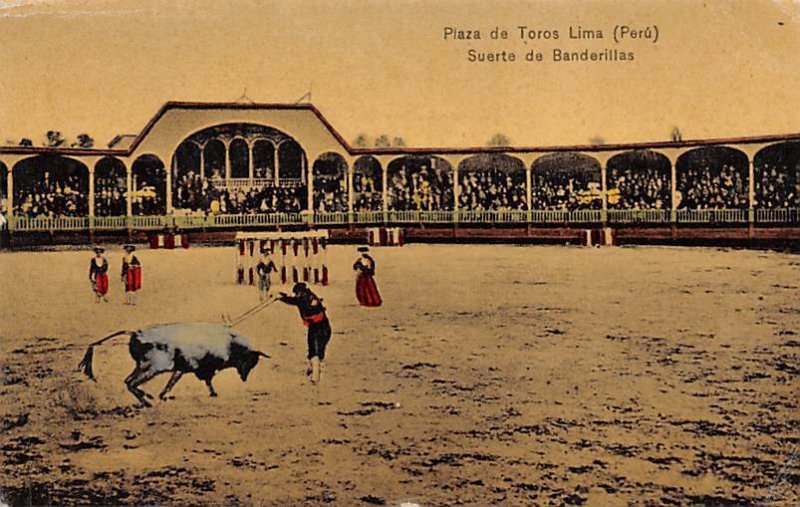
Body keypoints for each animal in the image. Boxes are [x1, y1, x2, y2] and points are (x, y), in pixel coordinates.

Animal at [78, 322, 272, 408]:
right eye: (249, 361)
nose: (244, 378)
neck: (230, 344)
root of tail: (134, 333)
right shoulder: (202, 369)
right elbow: (208, 381)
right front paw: (214, 393)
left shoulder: (182, 369)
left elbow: (171, 382)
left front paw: (163, 395)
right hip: (152, 368)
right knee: (131, 383)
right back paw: (147, 400)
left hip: (141, 366)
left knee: (127, 381)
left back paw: (148, 398)